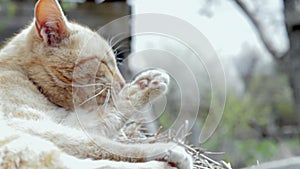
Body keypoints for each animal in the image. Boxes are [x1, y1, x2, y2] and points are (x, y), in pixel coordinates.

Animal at [0, 0, 192, 169]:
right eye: (104, 63)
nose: (122, 83)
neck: (26, 75)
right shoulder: (47, 126)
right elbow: (109, 124)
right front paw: (145, 84)